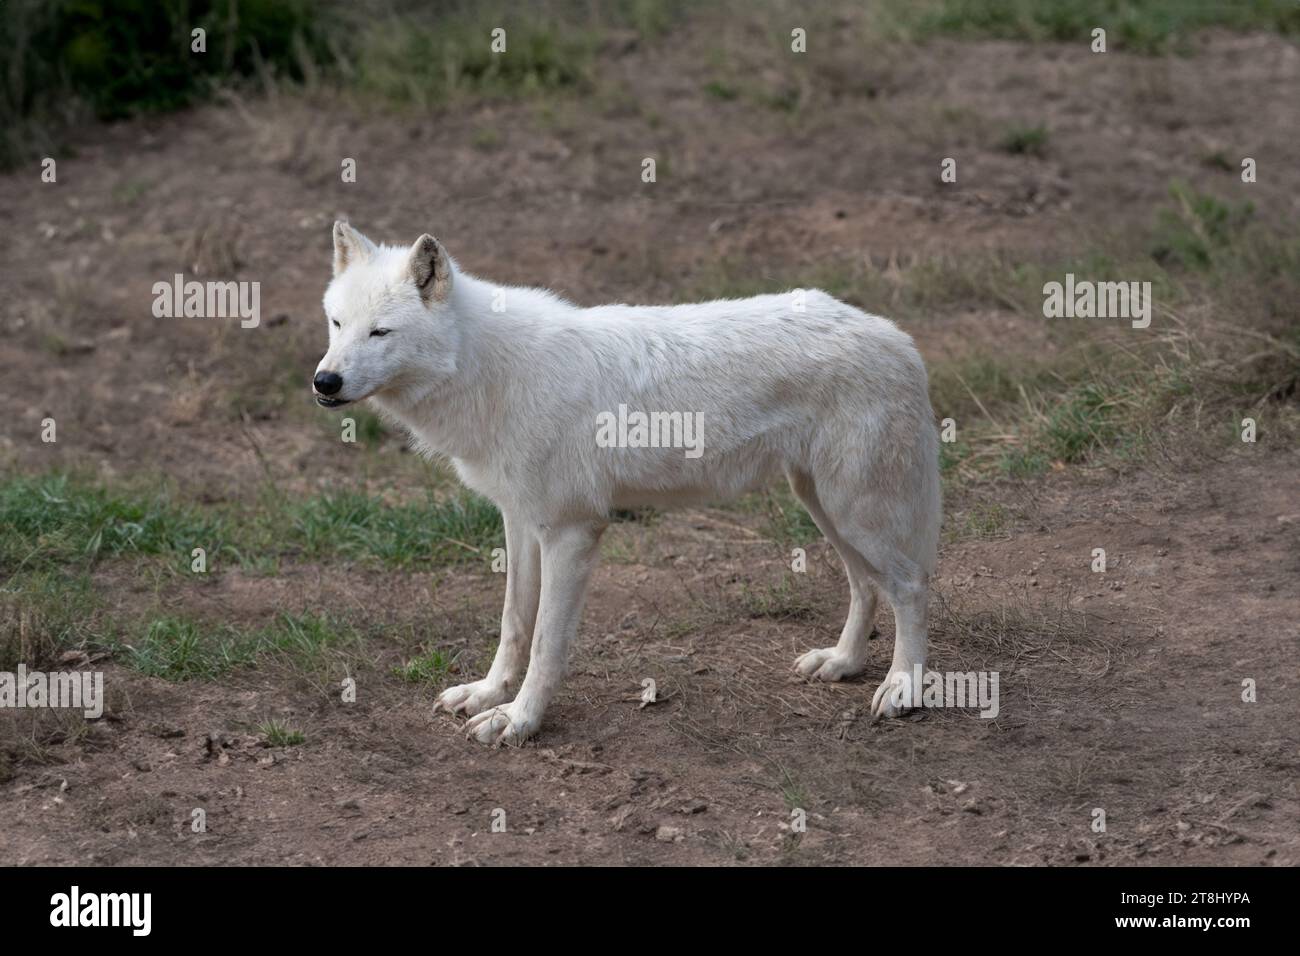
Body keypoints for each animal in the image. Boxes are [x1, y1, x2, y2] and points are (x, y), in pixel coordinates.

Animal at [315, 222, 941, 745]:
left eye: (381, 332)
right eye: (337, 324)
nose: (324, 381)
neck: (489, 371)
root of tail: (896, 336)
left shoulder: (572, 533)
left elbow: (544, 643)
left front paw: (519, 721)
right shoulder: (520, 522)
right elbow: (513, 624)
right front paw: (487, 695)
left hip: (856, 510)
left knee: (910, 586)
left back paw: (903, 687)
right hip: (822, 505)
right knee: (864, 584)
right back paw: (843, 662)